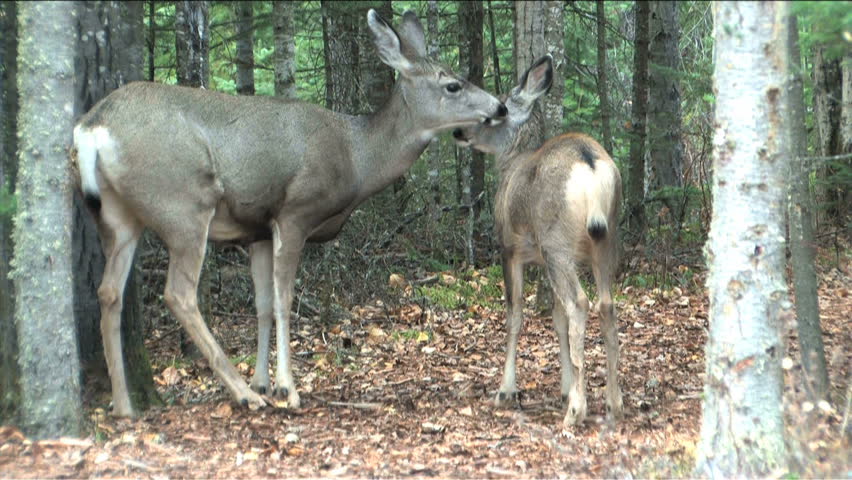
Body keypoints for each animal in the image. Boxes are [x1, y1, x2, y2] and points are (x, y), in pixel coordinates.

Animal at [71, 9, 507, 418]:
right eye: (452, 84)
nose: (500, 107)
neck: (358, 156)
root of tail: (93, 127)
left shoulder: (258, 230)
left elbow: (263, 305)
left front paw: (263, 381)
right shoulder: (295, 212)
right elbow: (284, 301)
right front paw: (286, 389)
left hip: (118, 216)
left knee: (109, 292)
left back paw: (125, 404)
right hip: (184, 204)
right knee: (178, 293)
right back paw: (241, 395)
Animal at [452, 55, 623, 427]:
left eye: (496, 108)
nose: (459, 131)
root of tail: (589, 162)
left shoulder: (510, 249)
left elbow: (515, 314)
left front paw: (506, 390)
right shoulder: (544, 261)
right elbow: (556, 319)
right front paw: (565, 388)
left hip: (556, 242)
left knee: (580, 303)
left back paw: (577, 412)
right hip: (605, 240)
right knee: (605, 304)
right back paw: (613, 402)